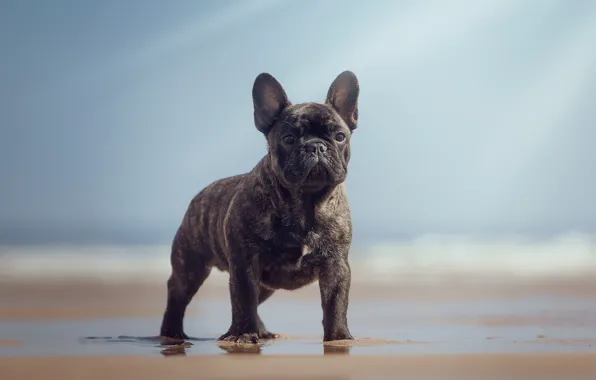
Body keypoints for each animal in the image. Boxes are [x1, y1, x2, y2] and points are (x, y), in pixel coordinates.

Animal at [158, 69, 360, 344]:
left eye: (339, 136)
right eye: (288, 139)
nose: (316, 146)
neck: (305, 203)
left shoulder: (336, 266)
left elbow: (336, 303)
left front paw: (339, 338)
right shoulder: (245, 265)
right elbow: (243, 300)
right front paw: (243, 334)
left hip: (266, 284)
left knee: (256, 301)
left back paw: (261, 331)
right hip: (191, 267)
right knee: (178, 295)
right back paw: (172, 333)